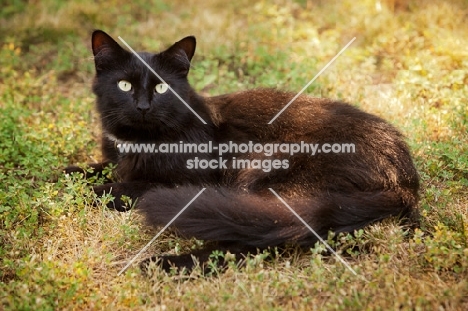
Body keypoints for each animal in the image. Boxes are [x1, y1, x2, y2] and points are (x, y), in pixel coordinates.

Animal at [65, 29, 416, 272]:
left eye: (161, 87)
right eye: (124, 85)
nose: (142, 106)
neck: (139, 141)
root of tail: (404, 179)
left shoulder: (192, 181)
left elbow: (121, 188)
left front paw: (85, 192)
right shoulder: (118, 160)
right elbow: (93, 170)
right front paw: (65, 177)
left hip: (267, 177)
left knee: (257, 240)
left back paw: (167, 265)